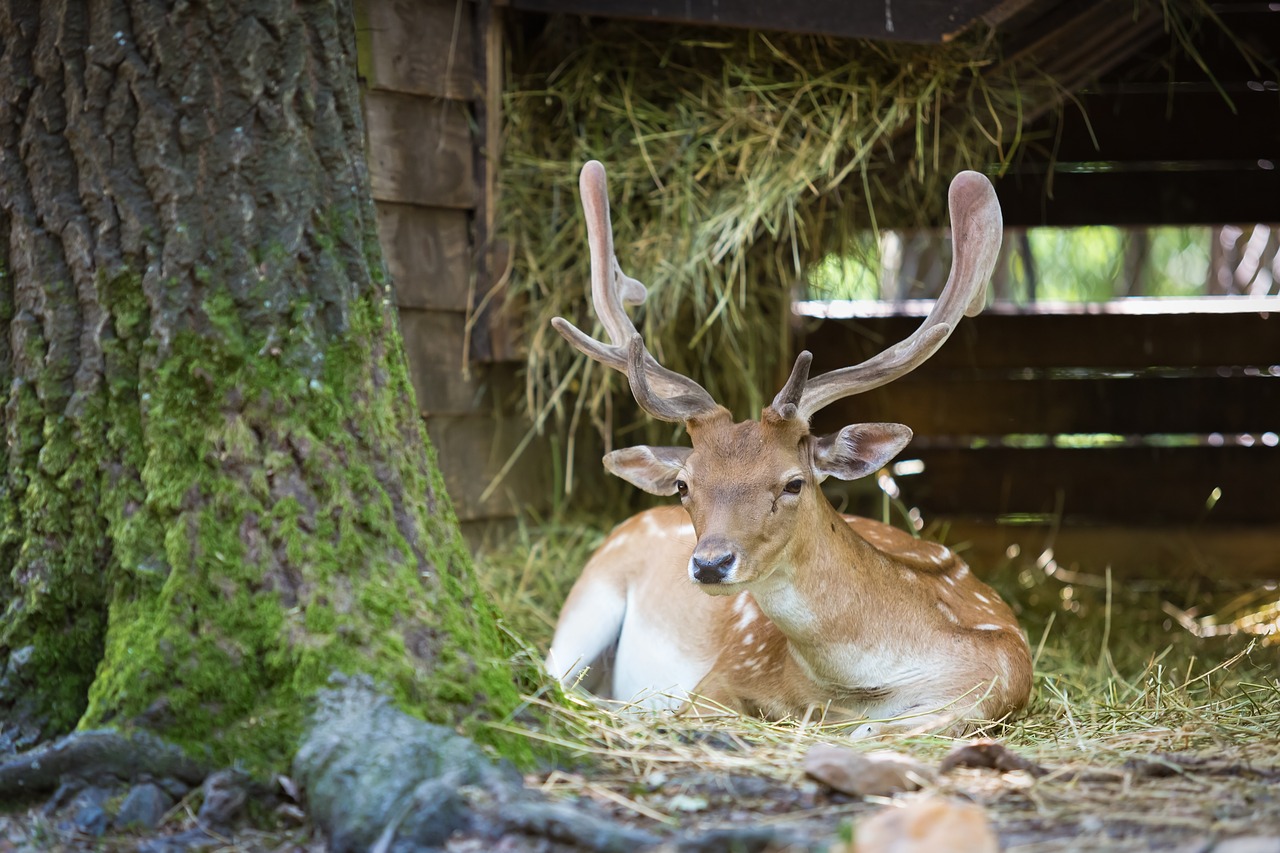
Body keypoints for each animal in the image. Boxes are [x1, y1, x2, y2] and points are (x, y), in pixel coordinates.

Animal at [545, 162, 1034, 732]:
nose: (709, 564)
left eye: (793, 482)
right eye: (685, 484)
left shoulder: (985, 693)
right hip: (588, 597)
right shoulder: (725, 673)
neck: (860, 687)